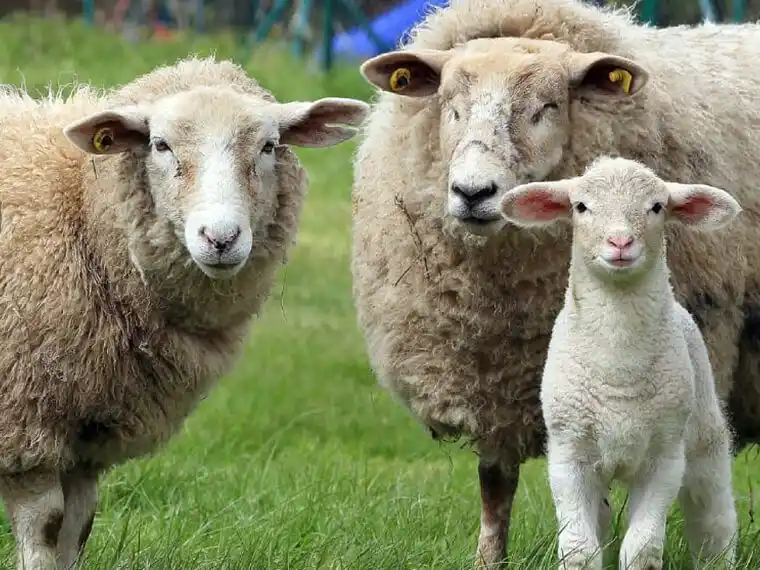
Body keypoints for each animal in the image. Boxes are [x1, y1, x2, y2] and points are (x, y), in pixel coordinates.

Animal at [0, 55, 368, 570]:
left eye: (269, 145)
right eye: (160, 144)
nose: (221, 238)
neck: (79, 210)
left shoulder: (88, 436)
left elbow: (76, 528)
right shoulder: (24, 423)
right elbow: (45, 527)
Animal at [500, 156, 740, 570]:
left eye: (657, 207)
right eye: (581, 207)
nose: (621, 242)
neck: (618, 367)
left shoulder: (665, 457)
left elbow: (642, 550)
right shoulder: (569, 455)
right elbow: (580, 550)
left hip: (703, 435)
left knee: (713, 516)